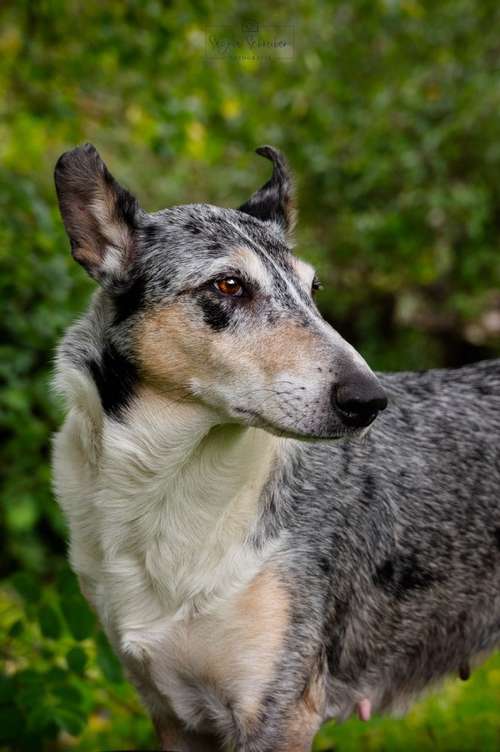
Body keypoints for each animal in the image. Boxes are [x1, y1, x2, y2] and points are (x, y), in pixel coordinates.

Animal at [51, 144, 500, 748]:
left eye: (314, 290)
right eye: (227, 286)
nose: (370, 400)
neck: (173, 488)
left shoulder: (278, 710)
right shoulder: (174, 714)